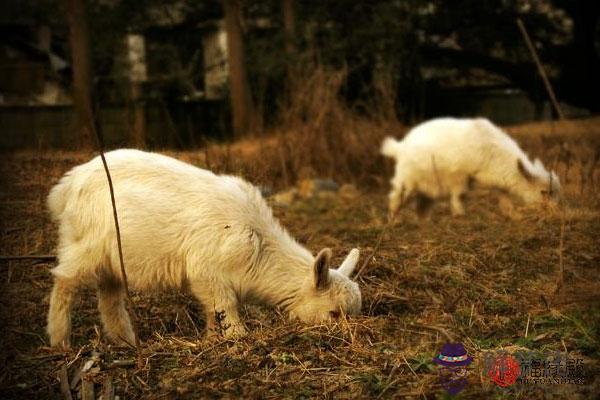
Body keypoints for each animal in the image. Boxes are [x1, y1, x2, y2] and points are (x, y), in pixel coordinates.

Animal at [47, 150, 360, 346]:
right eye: (334, 313)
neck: (259, 245)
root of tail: (67, 185)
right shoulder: (207, 271)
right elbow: (226, 307)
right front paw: (237, 338)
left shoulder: (211, 281)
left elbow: (213, 311)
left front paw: (212, 339)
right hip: (85, 244)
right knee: (65, 281)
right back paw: (60, 341)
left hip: (113, 259)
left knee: (109, 297)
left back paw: (126, 341)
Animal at [382, 117, 560, 219]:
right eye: (544, 192)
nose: (554, 213)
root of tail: (400, 146)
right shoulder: (459, 176)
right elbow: (459, 195)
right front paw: (459, 214)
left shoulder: (495, 182)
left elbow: (503, 197)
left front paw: (513, 215)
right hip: (406, 182)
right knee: (395, 198)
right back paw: (393, 221)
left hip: (426, 189)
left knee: (421, 207)